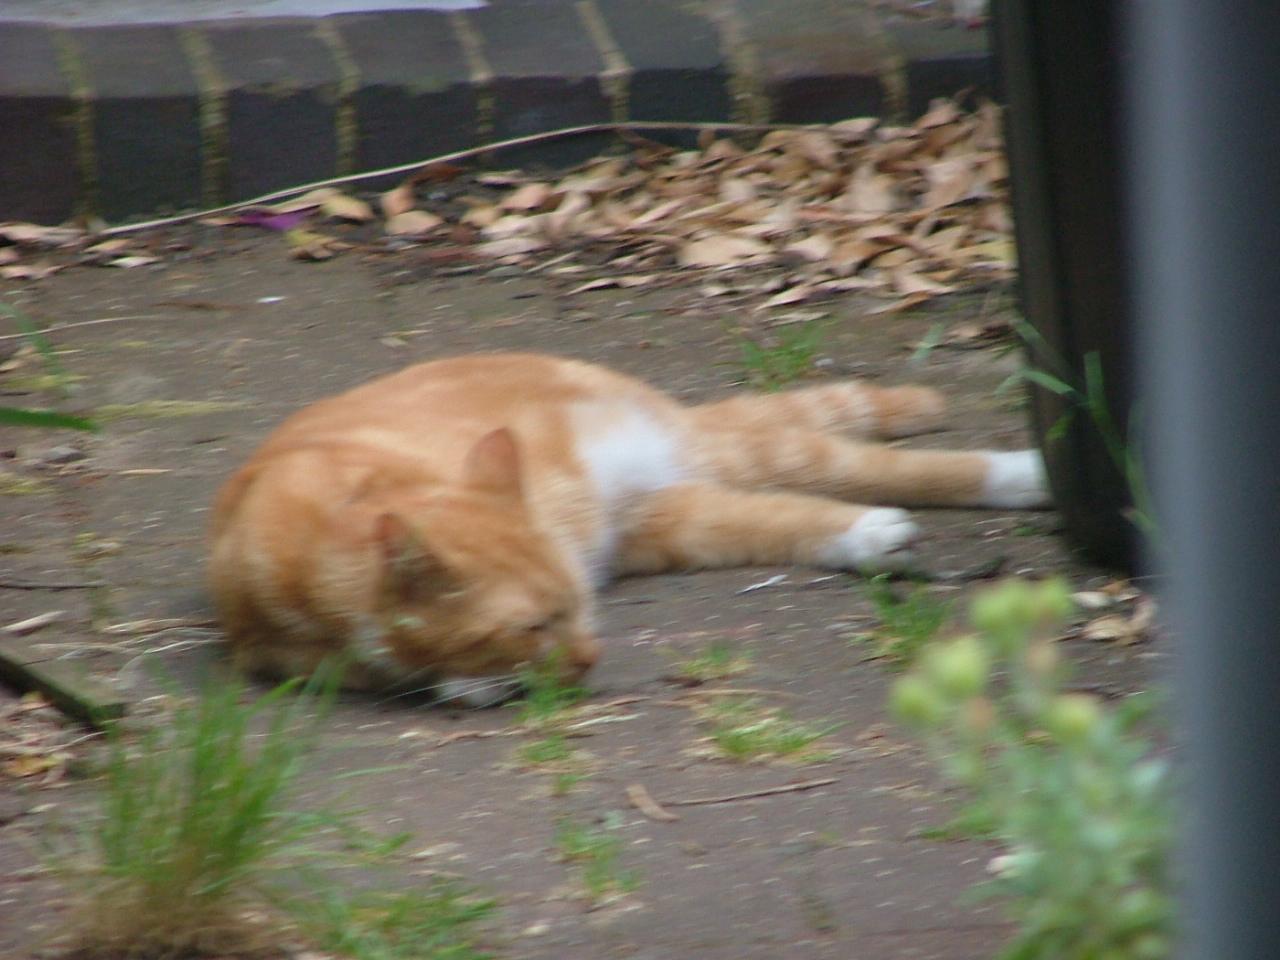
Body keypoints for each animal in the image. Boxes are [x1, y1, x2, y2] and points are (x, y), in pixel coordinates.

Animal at [208, 352, 1047, 705]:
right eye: (533, 624)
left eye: (580, 607)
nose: (592, 655)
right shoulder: (278, 654)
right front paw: (476, 682)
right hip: (676, 517)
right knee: (789, 512)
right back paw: (874, 540)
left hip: (735, 457)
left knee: (878, 467)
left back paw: (1023, 474)